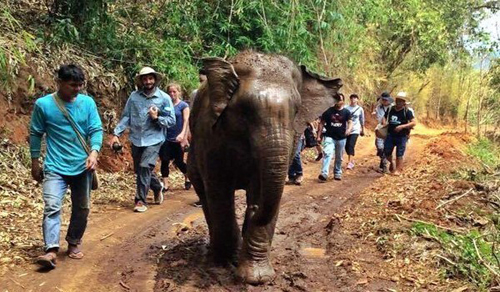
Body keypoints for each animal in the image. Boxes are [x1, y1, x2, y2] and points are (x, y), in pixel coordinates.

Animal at [186, 51, 342, 284]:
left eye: (296, 111)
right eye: (245, 111)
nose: (252, 210)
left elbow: (261, 188)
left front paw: (257, 277)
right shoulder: (210, 134)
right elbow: (219, 190)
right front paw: (227, 263)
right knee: (205, 194)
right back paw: (216, 253)